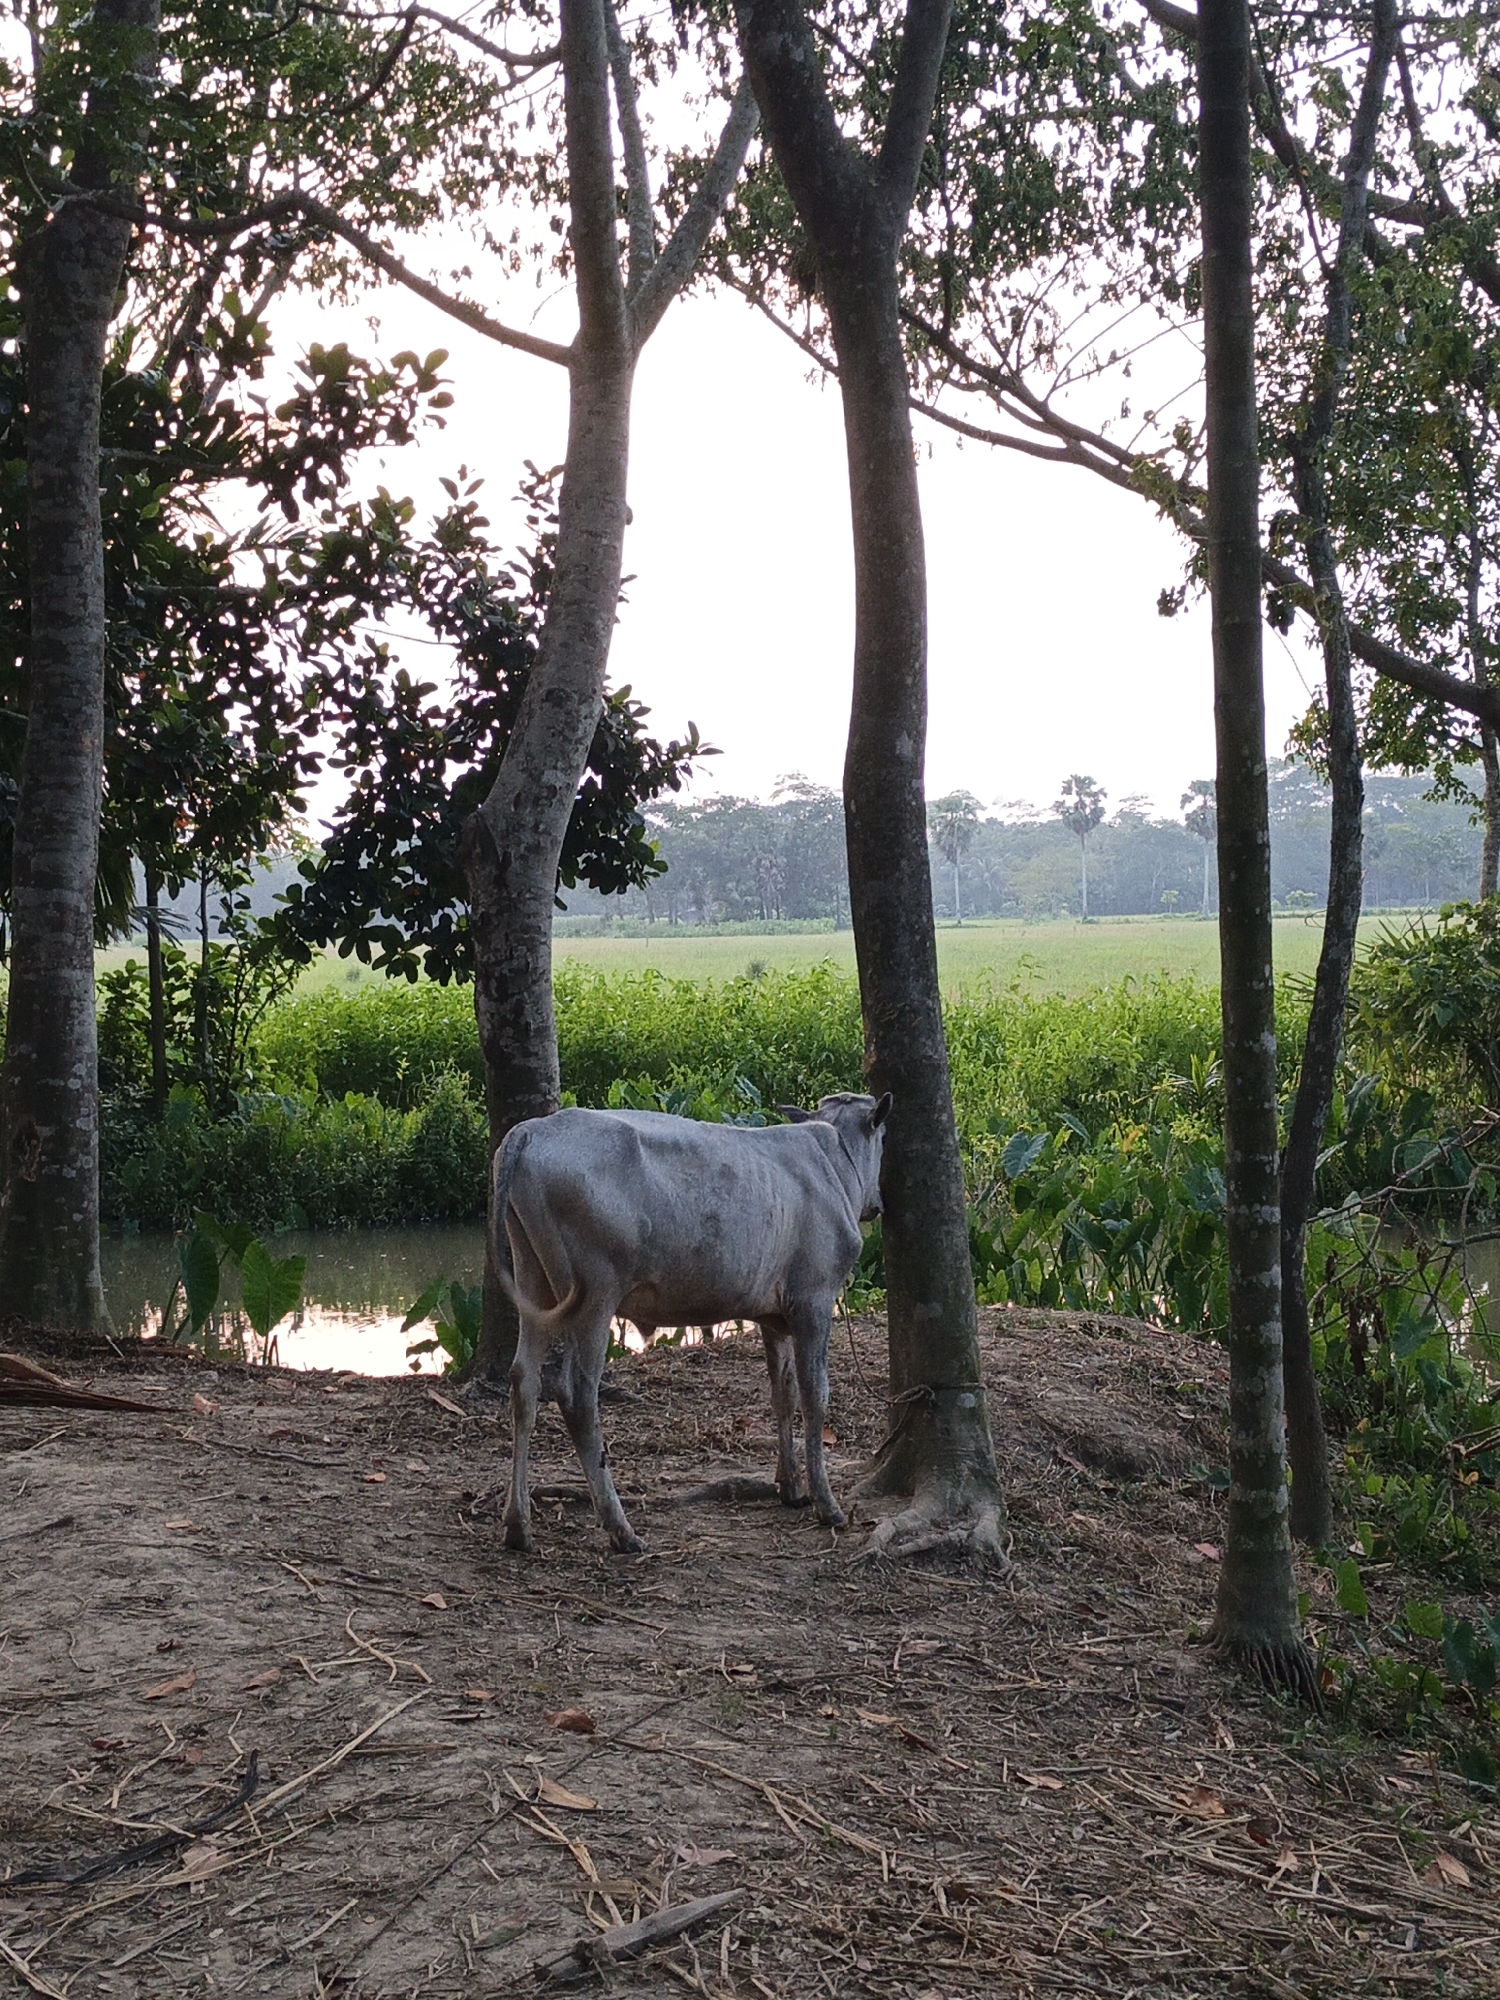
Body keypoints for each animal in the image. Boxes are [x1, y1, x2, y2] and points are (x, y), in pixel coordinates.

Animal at [493, 1090, 892, 1553]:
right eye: (883, 1138)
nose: (878, 1204)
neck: (833, 1164)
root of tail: (530, 1130)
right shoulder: (814, 1300)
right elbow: (814, 1396)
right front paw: (826, 1503)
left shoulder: (774, 1315)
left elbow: (783, 1392)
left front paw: (791, 1487)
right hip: (595, 1293)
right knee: (576, 1394)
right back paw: (619, 1527)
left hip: (532, 1276)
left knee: (524, 1381)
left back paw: (518, 1524)